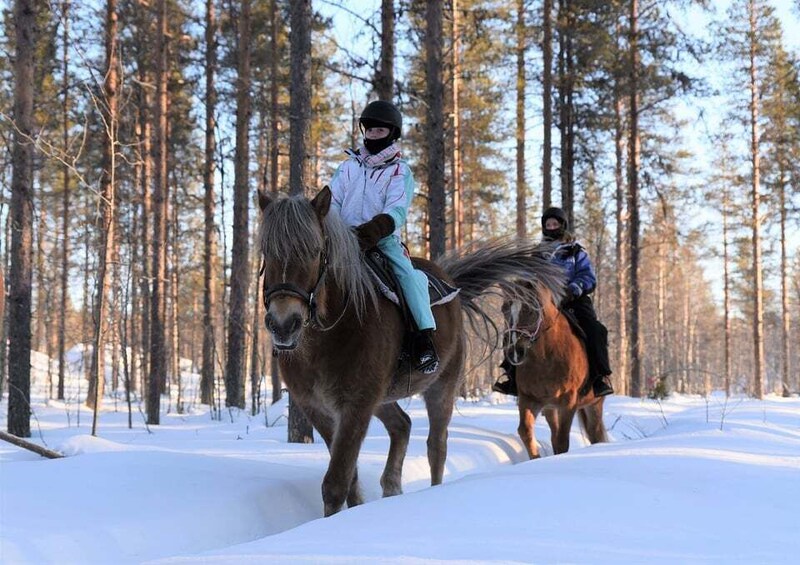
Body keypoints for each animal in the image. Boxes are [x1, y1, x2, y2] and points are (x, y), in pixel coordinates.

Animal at [256, 187, 564, 512]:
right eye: (266, 251)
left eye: (315, 251)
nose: (283, 324)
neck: (326, 339)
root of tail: (451, 283)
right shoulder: (317, 408)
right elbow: (350, 479)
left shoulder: (356, 406)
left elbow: (336, 483)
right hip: (383, 397)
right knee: (402, 425)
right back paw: (391, 486)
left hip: (440, 388)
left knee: (436, 447)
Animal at [504, 278, 608, 458]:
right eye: (504, 310)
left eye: (530, 309)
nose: (515, 352)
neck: (546, 357)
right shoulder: (528, 399)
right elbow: (525, 431)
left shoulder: (568, 402)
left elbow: (562, 440)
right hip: (550, 409)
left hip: (594, 404)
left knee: (594, 434)